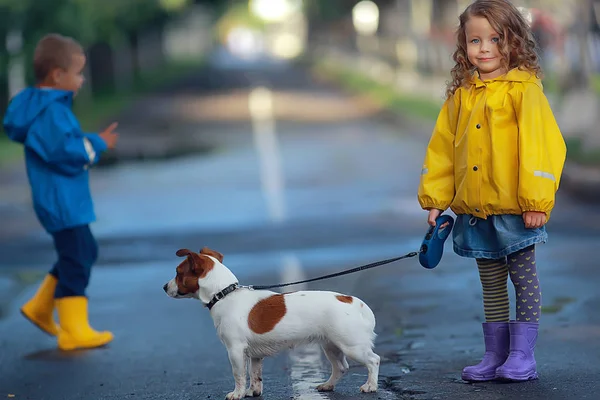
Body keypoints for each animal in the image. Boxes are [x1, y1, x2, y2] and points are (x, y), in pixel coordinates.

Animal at [164, 245, 380, 398]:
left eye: (178, 273)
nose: (164, 286)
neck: (224, 294)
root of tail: (354, 302)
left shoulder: (235, 350)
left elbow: (239, 374)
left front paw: (237, 394)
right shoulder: (254, 356)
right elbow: (255, 374)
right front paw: (253, 392)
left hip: (351, 346)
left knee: (373, 360)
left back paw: (370, 386)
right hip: (332, 346)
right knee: (341, 367)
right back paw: (328, 385)